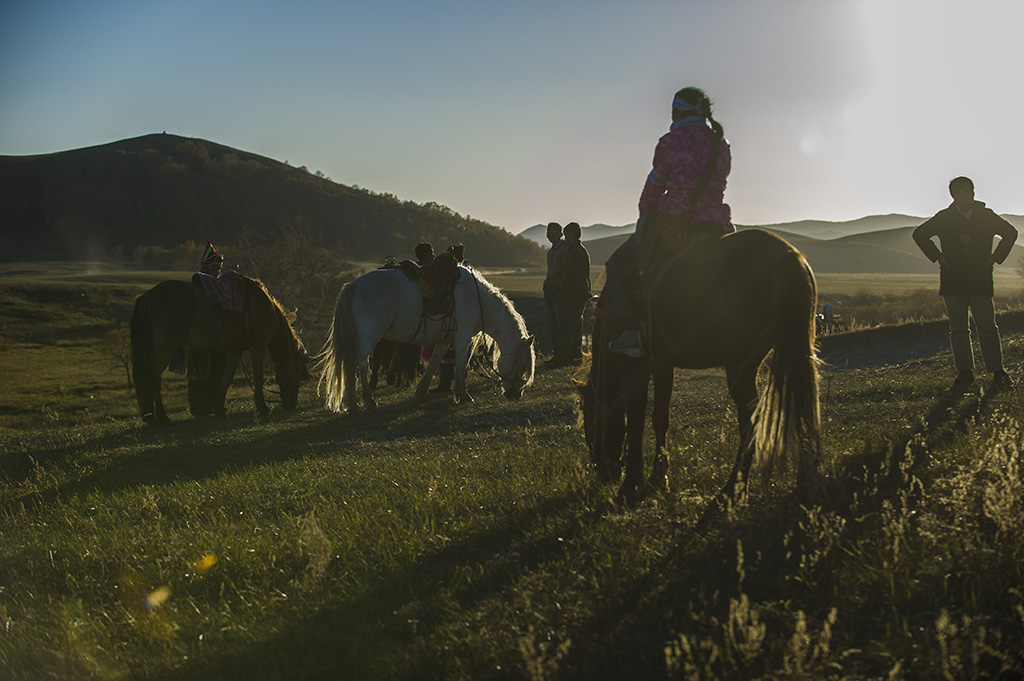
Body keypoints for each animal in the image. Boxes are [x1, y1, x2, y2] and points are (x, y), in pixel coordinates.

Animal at [130, 274, 309, 421]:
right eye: (298, 370)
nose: (291, 403)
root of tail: (148, 297)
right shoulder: (258, 347)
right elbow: (258, 377)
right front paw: (262, 407)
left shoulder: (235, 350)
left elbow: (227, 377)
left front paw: (219, 408)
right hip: (165, 348)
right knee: (154, 377)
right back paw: (161, 417)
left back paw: (151, 417)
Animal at [319, 262, 536, 411]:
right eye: (524, 364)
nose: (516, 395)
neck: (477, 299)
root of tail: (352, 286)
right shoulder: (462, 338)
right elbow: (459, 365)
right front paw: (463, 396)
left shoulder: (444, 340)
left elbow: (433, 364)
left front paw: (420, 395)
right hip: (369, 338)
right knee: (353, 368)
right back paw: (352, 405)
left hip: (367, 340)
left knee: (362, 367)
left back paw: (369, 401)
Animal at [577, 228, 823, 509]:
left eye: (589, 419)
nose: (603, 470)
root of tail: (786, 256)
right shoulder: (662, 364)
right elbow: (660, 418)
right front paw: (658, 478)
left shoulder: (633, 364)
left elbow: (637, 417)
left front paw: (631, 484)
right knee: (801, 408)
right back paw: (803, 486)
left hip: (741, 363)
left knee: (751, 419)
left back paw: (731, 489)